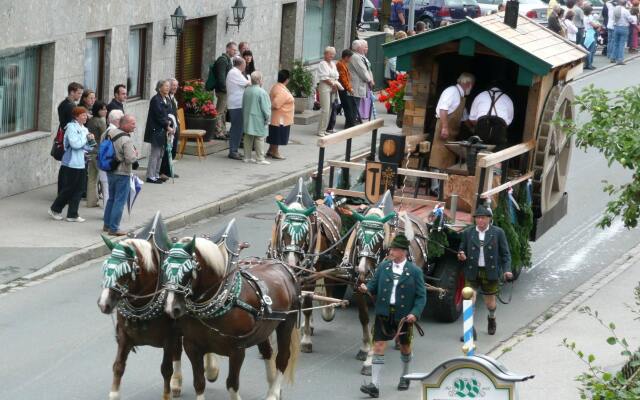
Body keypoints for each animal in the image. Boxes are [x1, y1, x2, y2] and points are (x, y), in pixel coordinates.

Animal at [162, 234, 298, 400]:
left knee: (283, 357)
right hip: (263, 328)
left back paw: (273, 393)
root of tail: (282, 265)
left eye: (188, 270)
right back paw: (273, 386)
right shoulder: (191, 346)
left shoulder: (237, 350)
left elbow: (232, 383)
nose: (171, 307)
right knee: (267, 351)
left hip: (287, 321)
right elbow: (199, 382)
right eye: (164, 267)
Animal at [268, 177, 342, 352]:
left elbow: (308, 305)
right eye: (284, 230)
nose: (292, 263)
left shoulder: (311, 275)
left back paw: (327, 311)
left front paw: (306, 341)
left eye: (305, 233)